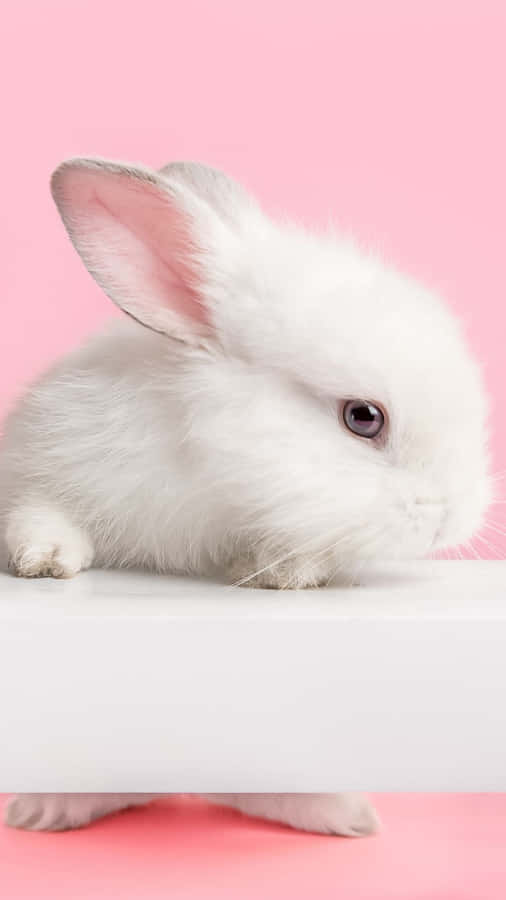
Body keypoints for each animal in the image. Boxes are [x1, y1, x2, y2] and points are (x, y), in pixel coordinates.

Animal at [0, 156, 492, 836]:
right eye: (363, 417)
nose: (453, 517)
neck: (215, 482)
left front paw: (279, 572)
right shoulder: (38, 463)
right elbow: (37, 515)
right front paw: (46, 562)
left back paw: (346, 817)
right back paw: (45, 810)